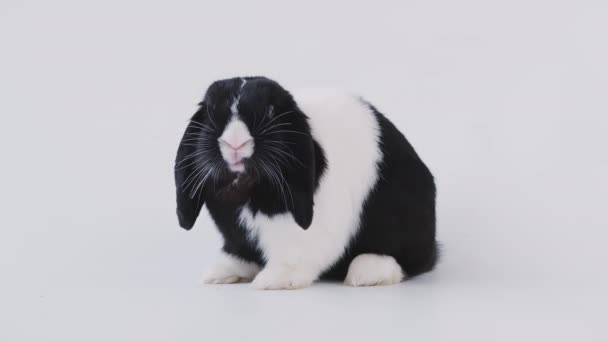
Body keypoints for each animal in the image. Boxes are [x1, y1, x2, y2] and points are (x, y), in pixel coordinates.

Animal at [176, 77, 436, 288]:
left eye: (270, 110)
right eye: (211, 111)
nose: (235, 142)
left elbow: (295, 253)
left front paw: (275, 280)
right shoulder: (235, 233)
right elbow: (239, 253)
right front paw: (222, 273)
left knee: (406, 259)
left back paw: (367, 273)